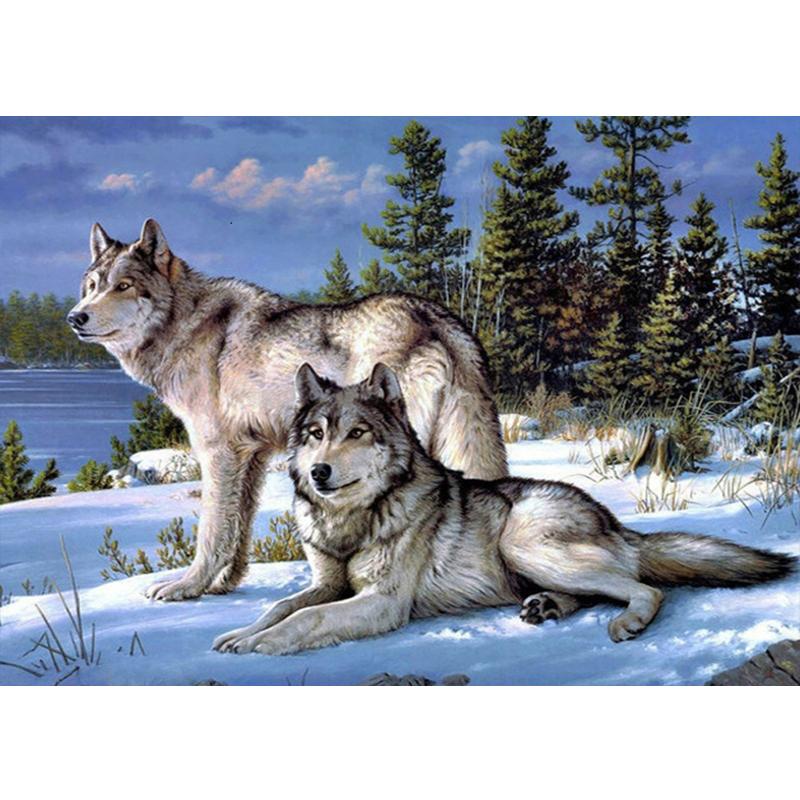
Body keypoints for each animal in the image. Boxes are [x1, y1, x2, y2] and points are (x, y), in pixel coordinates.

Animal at [68, 219, 507, 602]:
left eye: (124, 286)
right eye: (91, 286)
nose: (75, 317)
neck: (184, 324)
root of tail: (439, 318)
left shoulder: (217, 452)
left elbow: (212, 531)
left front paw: (188, 587)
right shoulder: (252, 456)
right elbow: (238, 529)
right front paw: (224, 584)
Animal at [212, 363, 795, 655]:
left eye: (356, 433)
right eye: (316, 434)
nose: (318, 473)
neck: (353, 520)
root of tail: (614, 521)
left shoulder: (383, 602)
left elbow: (305, 618)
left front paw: (260, 647)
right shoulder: (327, 583)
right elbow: (280, 607)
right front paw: (241, 634)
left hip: (523, 542)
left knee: (646, 589)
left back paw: (625, 623)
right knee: (599, 590)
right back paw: (546, 607)